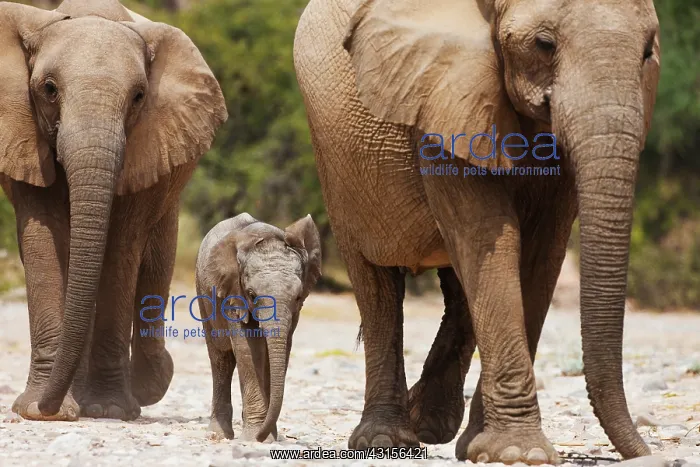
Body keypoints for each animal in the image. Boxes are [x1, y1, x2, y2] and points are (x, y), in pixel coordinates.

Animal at [0, 0, 227, 421]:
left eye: (139, 96)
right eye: (49, 89)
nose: (48, 407)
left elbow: (121, 248)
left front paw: (108, 410)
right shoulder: (21, 132)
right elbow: (43, 237)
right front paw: (40, 410)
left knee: (155, 263)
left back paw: (149, 384)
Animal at [195, 213, 322, 442]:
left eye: (298, 297)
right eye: (252, 295)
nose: (261, 436)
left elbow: (279, 351)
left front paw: (267, 437)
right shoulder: (232, 293)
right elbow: (247, 348)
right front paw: (255, 436)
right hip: (202, 293)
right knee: (220, 359)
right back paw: (218, 435)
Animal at [294, 0, 660, 463]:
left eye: (647, 52)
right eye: (544, 44)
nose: (644, 450)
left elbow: (539, 253)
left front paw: (492, 448)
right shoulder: (443, 100)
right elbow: (487, 234)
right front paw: (520, 453)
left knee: (458, 290)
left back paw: (433, 426)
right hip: (335, 162)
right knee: (376, 285)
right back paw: (386, 441)